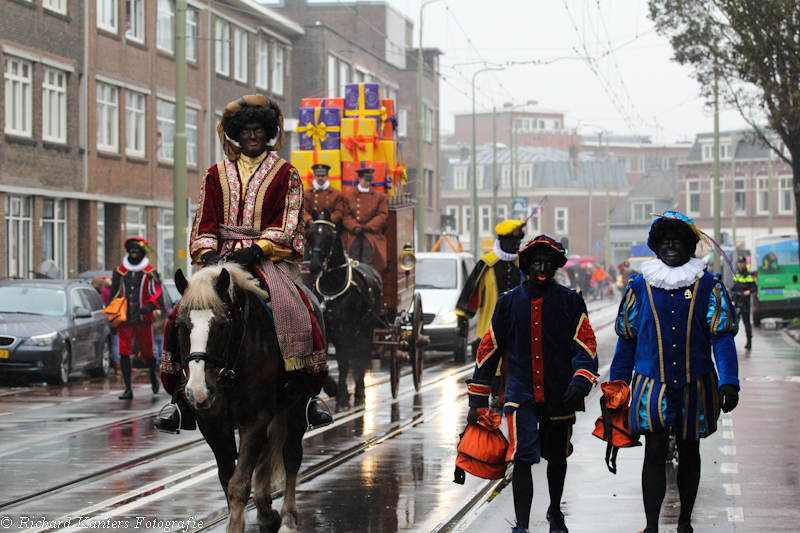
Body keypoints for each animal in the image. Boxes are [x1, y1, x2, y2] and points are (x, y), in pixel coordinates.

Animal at [175, 264, 306, 532]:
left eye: (221, 326)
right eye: (181, 326)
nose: (197, 391)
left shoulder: (255, 419)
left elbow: (239, 484)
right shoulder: (213, 425)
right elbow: (227, 480)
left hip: (295, 407)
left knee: (291, 456)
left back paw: (288, 519)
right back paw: (265, 511)